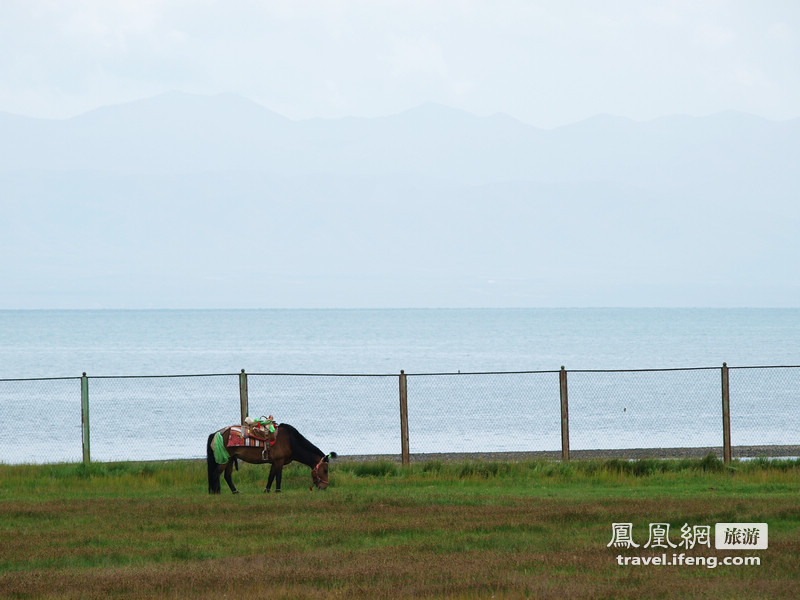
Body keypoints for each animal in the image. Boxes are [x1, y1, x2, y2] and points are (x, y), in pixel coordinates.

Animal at [206, 422, 334, 492]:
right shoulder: (279, 461)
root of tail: (217, 433)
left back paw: (235, 491)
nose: (324, 487)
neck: (291, 441)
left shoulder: (274, 462)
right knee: (216, 474)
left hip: (231, 459)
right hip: (226, 459)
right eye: (325, 470)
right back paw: (217, 492)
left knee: (227, 476)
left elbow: (271, 477)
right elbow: (278, 477)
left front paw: (267, 491)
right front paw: (278, 491)